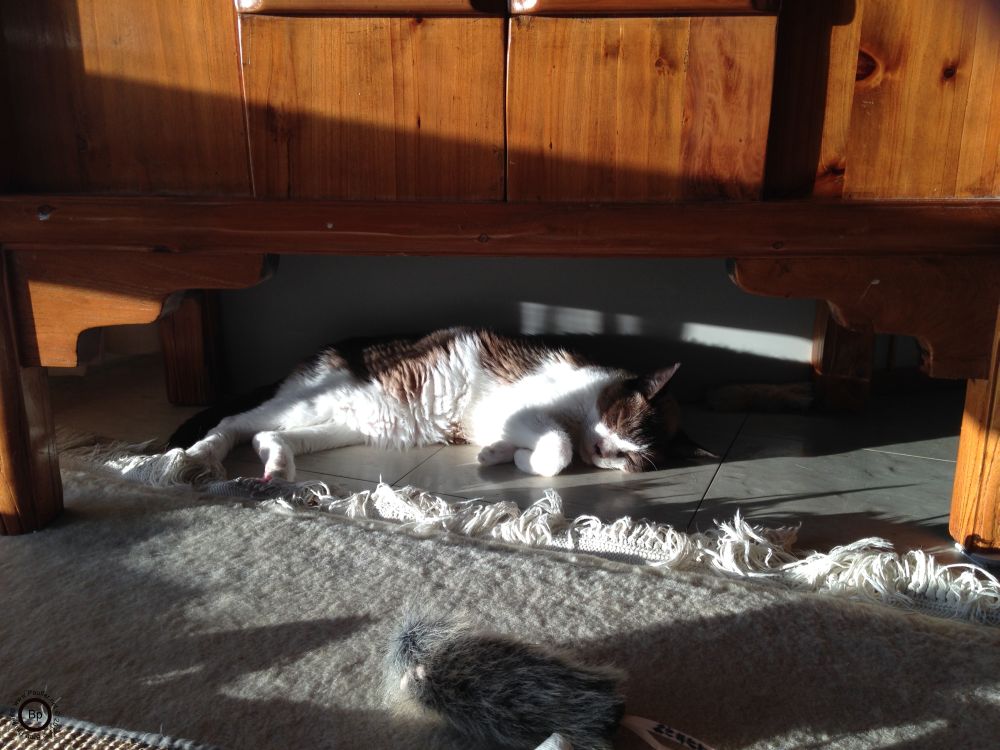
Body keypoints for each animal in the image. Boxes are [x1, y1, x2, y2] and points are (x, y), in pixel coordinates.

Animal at [174, 328, 712, 482]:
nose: (604, 449)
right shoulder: (531, 412)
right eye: (621, 423)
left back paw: (276, 468)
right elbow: (558, 449)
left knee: (268, 436)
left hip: (342, 425)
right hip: (311, 403)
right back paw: (196, 456)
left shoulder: (512, 422)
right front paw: (521, 459)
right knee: (232, 422)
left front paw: (498, 455)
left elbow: (547, 451)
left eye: (632, 457)